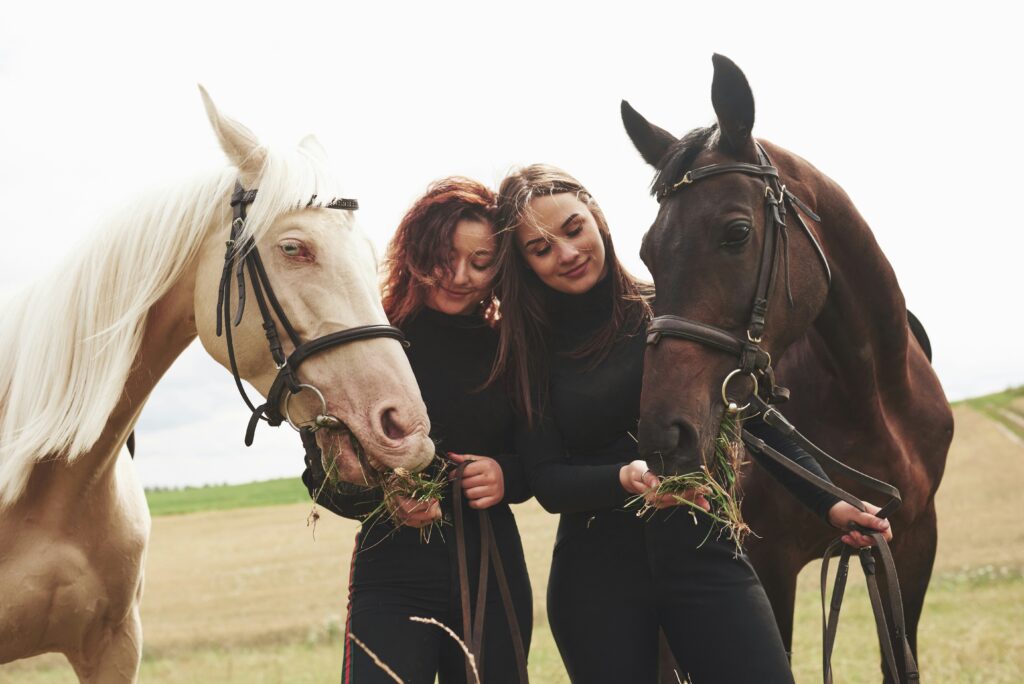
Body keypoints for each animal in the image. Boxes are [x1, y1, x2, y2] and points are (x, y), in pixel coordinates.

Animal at [622, 56, 950, 679]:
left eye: (736, 233)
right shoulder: (769, 562)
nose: (662, 435)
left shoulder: (909, 540)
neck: (872, 398)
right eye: (648, 253)